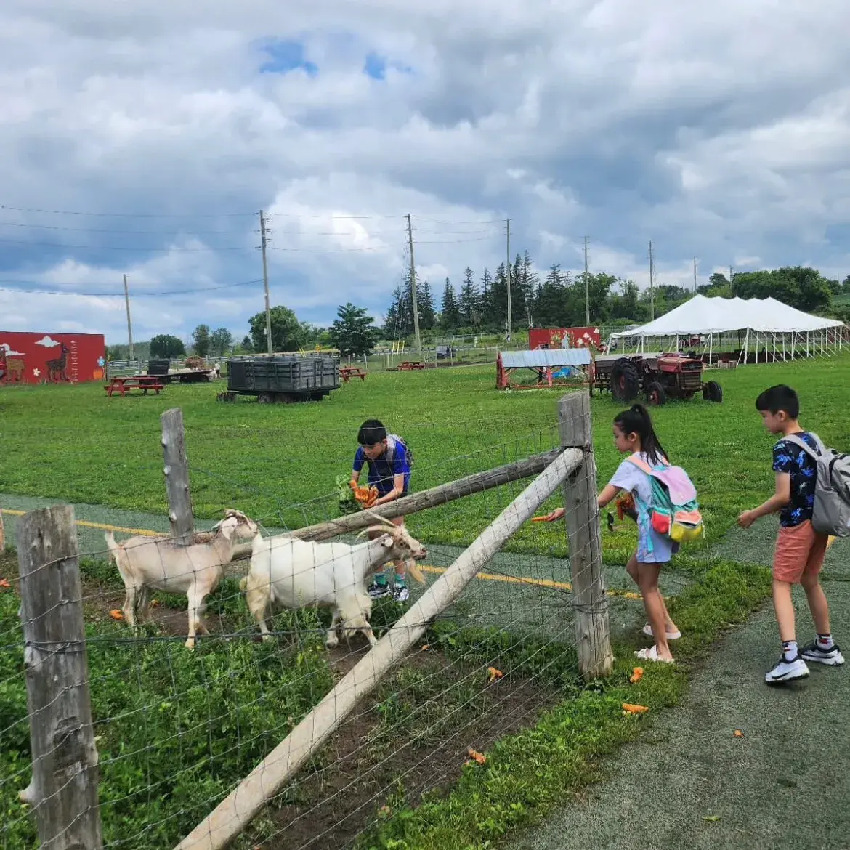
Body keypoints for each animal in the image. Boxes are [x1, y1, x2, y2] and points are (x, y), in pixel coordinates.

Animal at [104, 510, 255, 648]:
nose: (256, 529)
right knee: (128, 608)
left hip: (147, 584)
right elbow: (194, 619)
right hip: (131, 581)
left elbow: (200, 613)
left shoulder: (204, 592)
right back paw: (136, 635)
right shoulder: (195, 591)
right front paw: (189, 645)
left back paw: (155, 631)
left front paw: (206, 634)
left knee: (143, 607)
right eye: (243, 520)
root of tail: (119, 548)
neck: (214, 552)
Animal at [240, 516, 424, 648]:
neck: (358, 559)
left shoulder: (339, 599)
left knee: (268, 610)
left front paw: (331, 640)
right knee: (258, 613)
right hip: (259, 587)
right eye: (402, 542)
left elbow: (335, 619)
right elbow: (365, 624)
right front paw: (375, 644)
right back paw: (267, 637)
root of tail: (258, 545)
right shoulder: (350, 599)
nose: (423, 550)